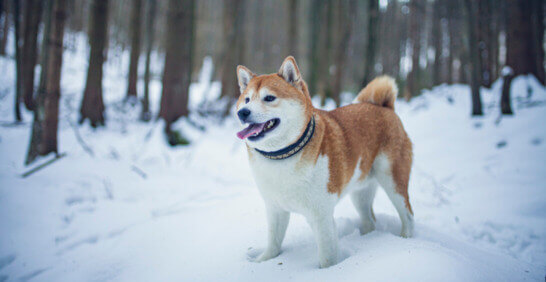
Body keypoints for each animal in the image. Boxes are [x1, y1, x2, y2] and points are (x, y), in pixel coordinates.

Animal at [234, 56, 412, 268]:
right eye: (246, 99)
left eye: (269, 98)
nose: (243, 112)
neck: (282, 155)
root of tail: (384, 107)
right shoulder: (275, 209)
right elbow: (273, 243)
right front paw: (263, 261)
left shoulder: (321, 216)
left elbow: (327, 255)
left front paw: (327, 271)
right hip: (360, 193)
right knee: (370, 221)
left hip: (393, 182)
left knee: (408, 215)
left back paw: (406, 239)